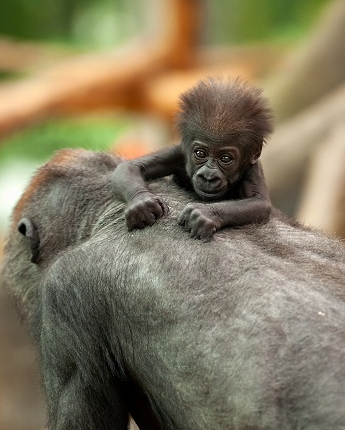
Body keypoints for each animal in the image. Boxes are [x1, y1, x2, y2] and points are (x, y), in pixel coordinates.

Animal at [111, 76, 272, 239]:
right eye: (200, 154)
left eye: (226, 159)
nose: (208, 177)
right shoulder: (178, 153)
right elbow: (131, 166)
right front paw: (142, 202)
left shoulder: (253, 169)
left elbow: (260, 203)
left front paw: (205, 213)